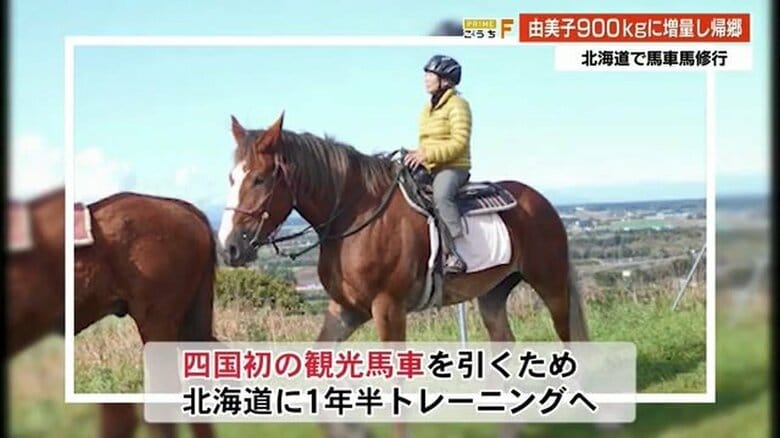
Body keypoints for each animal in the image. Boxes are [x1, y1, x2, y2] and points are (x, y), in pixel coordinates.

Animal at [218, 114, 590, 438]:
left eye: (259, 179)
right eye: (231, 178)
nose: (229, 248)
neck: (355, 216)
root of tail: (542, 202)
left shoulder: (388, 308)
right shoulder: (347, 309)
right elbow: (316, 364)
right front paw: (349, 428)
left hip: (551, 285)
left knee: (570, 338)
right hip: (494, 294)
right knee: (506, 344)